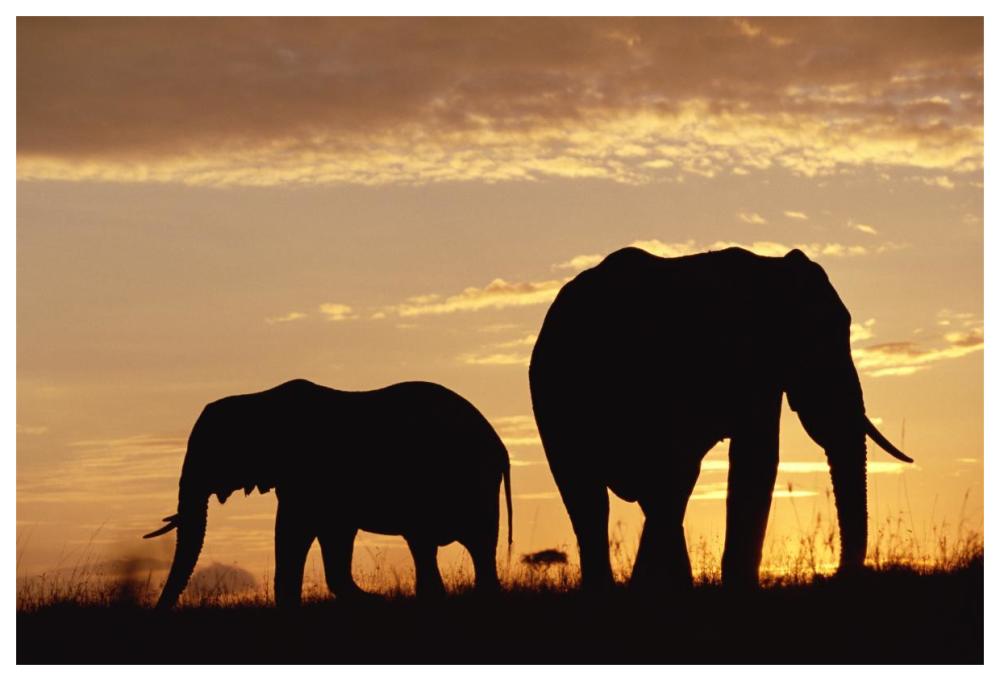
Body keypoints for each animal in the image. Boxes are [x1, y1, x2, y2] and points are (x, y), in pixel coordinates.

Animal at [144, 379, 512, 608]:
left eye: (213, 452)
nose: (159, 609)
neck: (257, 398)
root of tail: (499, 445)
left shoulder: (307, 473)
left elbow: (295, 530)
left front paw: (374, 600)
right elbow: (328, 534)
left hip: (466, 480)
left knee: (456, 544)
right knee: (449, 548)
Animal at [528, 246, 912, 592]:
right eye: (819, 338)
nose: (838, 576)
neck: (772, 268)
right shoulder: (747, 360)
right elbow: (756, 458)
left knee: (626, 495)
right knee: (615, 493)